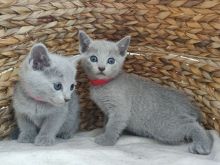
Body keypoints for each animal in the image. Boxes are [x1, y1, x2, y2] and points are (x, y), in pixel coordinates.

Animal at [78, 31, 213, 155]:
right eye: (93, 59)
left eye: (111, 61)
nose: (101, 68)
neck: (102, 84)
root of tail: (190, 106)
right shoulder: (107, 111)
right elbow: (107, 123)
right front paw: (103, 131)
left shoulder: (120, 109)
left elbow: (113, 125)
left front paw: (106, 140)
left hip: (165, 127)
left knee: (195, 126)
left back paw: (202, 145)